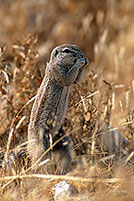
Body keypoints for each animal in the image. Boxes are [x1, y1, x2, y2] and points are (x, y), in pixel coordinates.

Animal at [28, 43, 88, 174]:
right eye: (67, 50)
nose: (82, 54)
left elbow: (76, 81)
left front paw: (85, 61)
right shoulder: (57, 71)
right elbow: (68, 79)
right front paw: (80, 62)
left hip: (61, 138)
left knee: (65, 151)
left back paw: (62, 170)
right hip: (42, 145)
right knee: (40, 160)